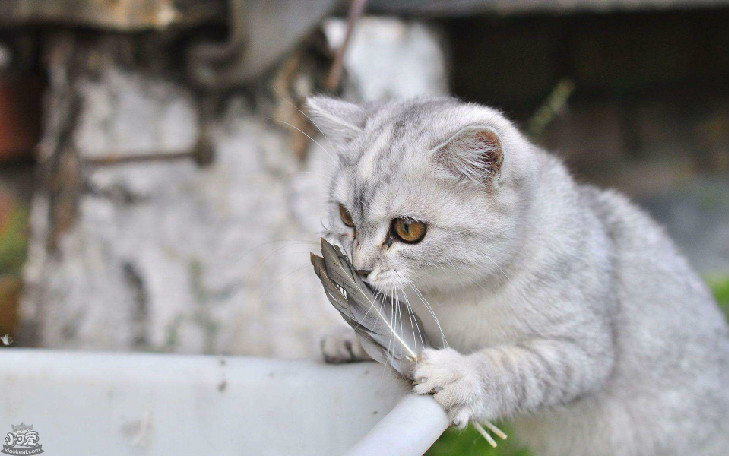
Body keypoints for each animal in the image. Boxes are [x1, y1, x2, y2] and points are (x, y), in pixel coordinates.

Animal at [308, 96, 728, 456]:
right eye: (345, 217)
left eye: (408, 229)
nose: (359, 268)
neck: (453, 296)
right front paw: (347, 338)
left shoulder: (583, 350)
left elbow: (514, 368)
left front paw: (461, 376)